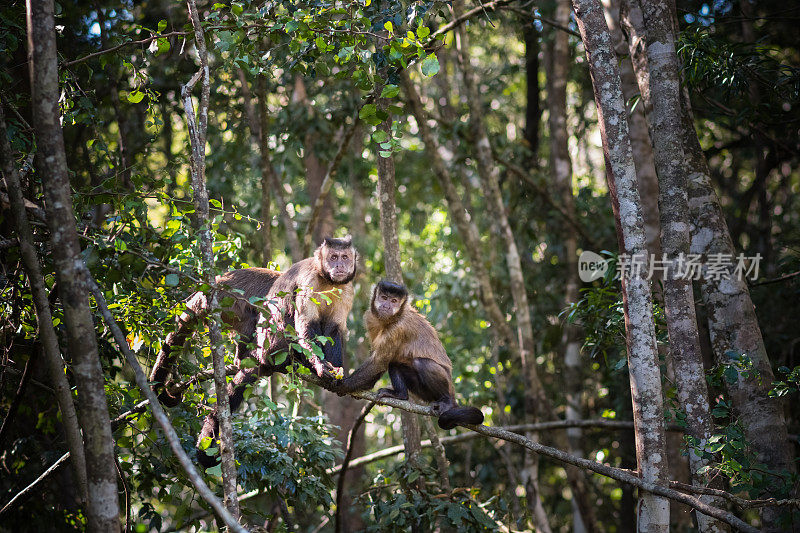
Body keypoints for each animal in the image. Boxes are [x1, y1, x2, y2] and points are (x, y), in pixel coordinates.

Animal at [334, 280, 484, 430]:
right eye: (384, 297)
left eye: (394, 301)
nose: (387, 306)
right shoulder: (370, 317)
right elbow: (378, 358)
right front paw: (363, 387)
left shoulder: (399, 328)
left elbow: (379, 362)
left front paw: (342, 385)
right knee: (394, 363)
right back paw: (401, 396)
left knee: (421, 363)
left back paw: (446, 402)